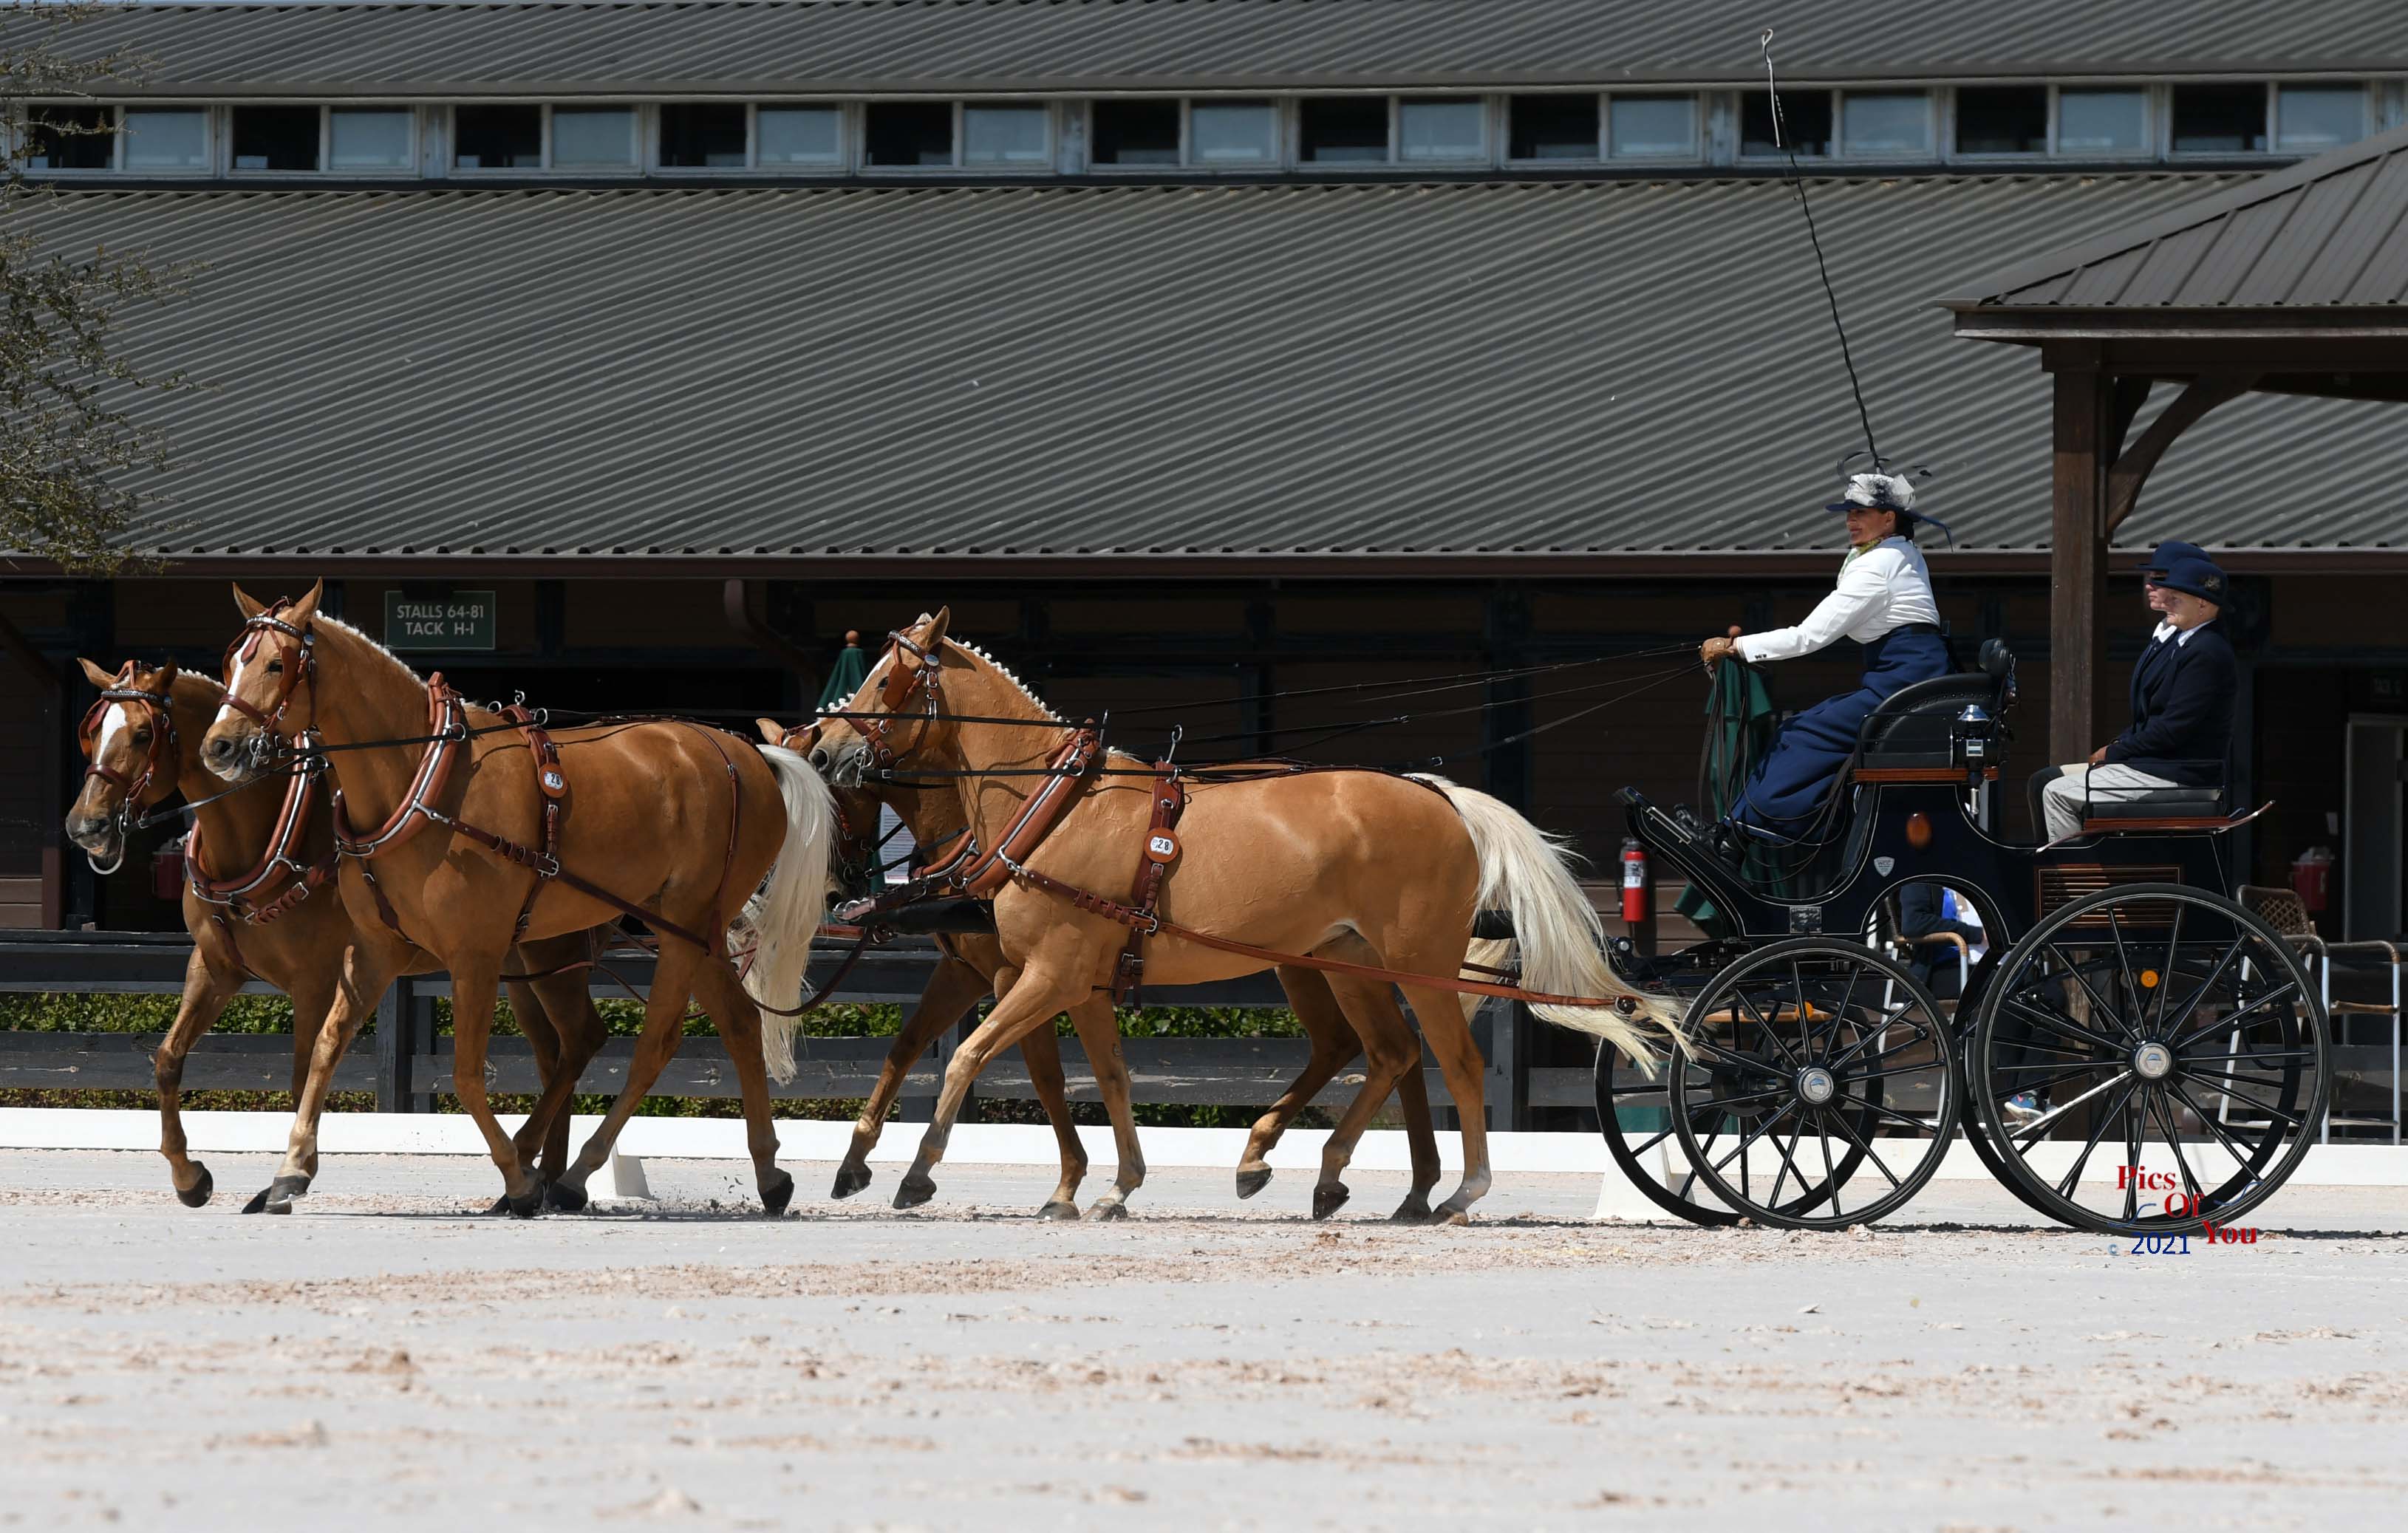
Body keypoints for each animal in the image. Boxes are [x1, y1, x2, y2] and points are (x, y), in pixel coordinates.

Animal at [68, 659, 621, 1208]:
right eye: (91, 733)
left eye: (143, 734)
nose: (85, 826)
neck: (269, 833)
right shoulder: (215, 967)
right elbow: (167, 1058)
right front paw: (190, 1176)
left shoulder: (315, 979)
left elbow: (303, 1072)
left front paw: (290, 1172)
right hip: (514, 967)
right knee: (556, 1053)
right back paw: (544, 1174)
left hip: (550, 958)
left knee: (579, 1042)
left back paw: (546, 1175)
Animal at [202, 584, 838, 1218]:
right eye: (231, 663)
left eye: (276, 664)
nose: (219, 746)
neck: (422, 777)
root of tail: (746, 753)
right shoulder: (378, 950)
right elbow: (327, 1045)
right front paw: (290, 1170)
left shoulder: (476, 956)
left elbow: (465, 1074)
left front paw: (515, 1176)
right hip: (693, 931)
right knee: (737, 1023)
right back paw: (767, 1173)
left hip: (680, 924)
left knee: (654, 1043)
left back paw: (574, 1173)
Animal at [770, 712, 1445, 1218]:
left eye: (831, 791)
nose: (835, 892)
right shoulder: (975, 971)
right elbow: (910, 1047)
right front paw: (855, 1161)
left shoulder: (1019, 974)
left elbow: (1034, 1072)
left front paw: (1067, 1183)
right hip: (1317, 960)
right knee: (1373, 1046)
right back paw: (1392, 1181)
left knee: (1389, 1046)